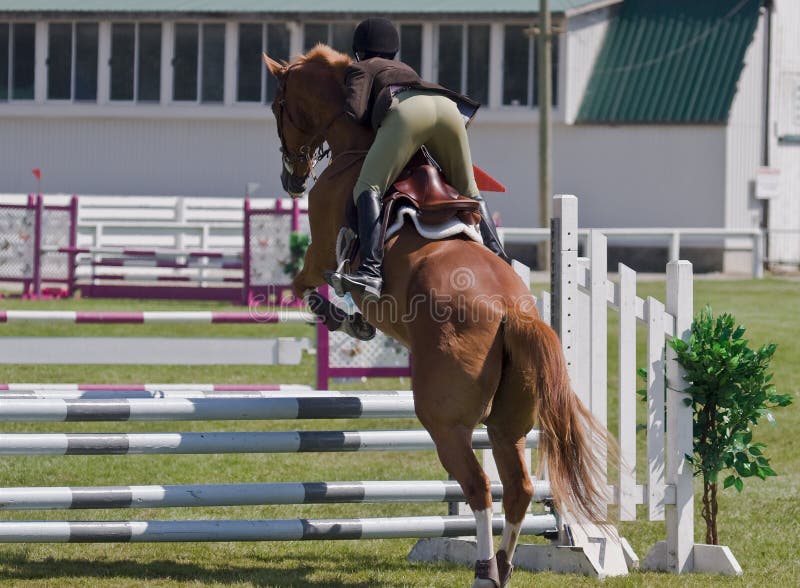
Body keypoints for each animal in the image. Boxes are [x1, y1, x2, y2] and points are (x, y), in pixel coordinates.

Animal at [264, 45, 610, 587]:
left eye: (280, 107)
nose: (291, 179)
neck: (355, 145)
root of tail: (514, 313)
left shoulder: (320, 252)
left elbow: (307, 287)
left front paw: (343, 315)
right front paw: (355, 320)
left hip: (442, 418)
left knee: (479, 486)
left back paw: (484, 570)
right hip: (509, 422)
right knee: (517, 487)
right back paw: (504, 567)